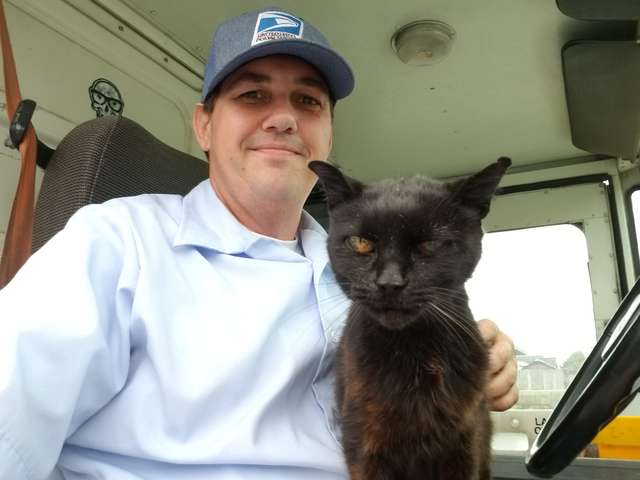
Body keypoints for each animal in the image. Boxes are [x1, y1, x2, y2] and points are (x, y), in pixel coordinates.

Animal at [308, 158, 512, 480]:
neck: (414, 356)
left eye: (430, 244)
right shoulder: (363, 446)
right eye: (360, 243)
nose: (389, 283)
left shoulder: (465, 444)